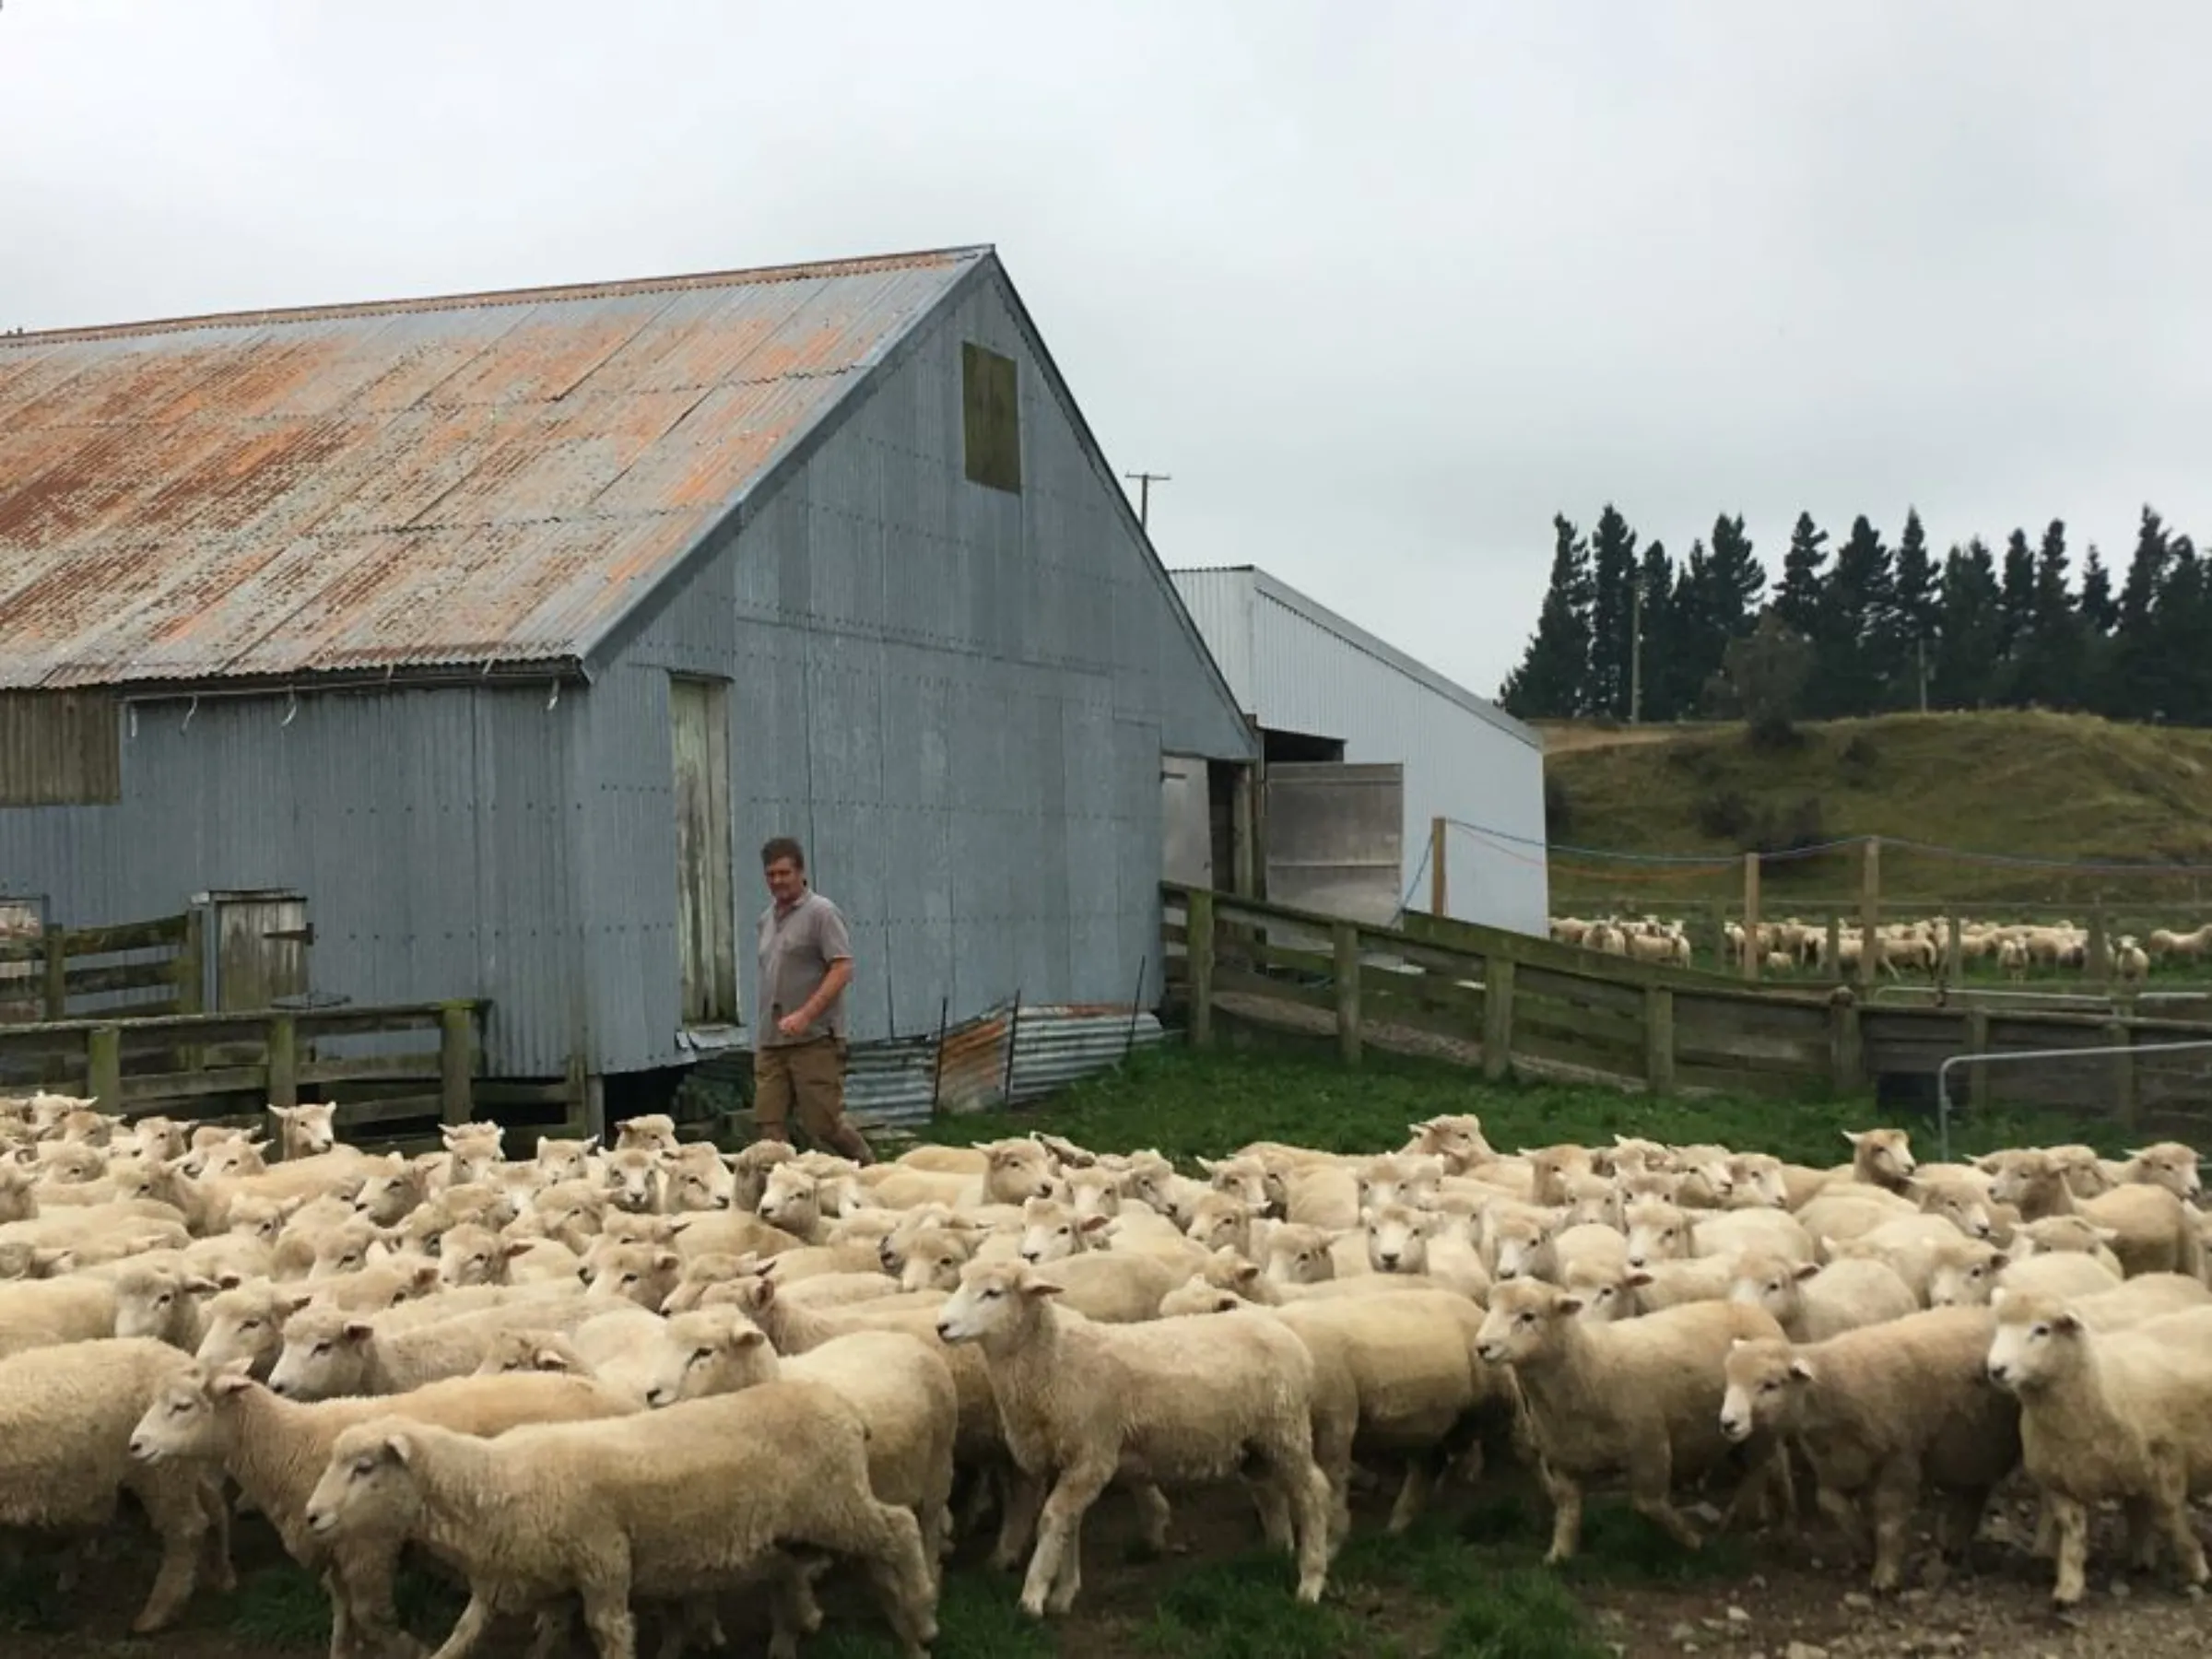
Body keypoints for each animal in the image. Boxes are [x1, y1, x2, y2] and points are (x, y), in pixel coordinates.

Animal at [299, 1380, 937, 1659]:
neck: (494, 1482)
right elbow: (463, 1638)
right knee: (835, 1564)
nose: (312, 1516)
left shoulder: (602, 1561)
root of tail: (844, 1407)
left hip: (837, 1503)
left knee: (901, 1528)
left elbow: (609, 1629)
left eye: (363, 1467)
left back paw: (923, 1610)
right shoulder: (508, 1579)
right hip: (802, 1527)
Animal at [933, 1265, 1327, 1618]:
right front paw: (1063, 1594)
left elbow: (1053, 1519)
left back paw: (1310, 1582)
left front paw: (1033, 1596)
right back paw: (1277, 1552)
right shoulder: (1066, 1460)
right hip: (1256, 1444)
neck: (1054, 1360)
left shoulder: (1092, 1454)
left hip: (1287, 1430)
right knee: (1270, 1492)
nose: (941, 1327)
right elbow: (1069, 1523)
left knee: (1313, 1493)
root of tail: (1280, 1328)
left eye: (993, 1293)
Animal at [1468, 1283, 1795, 1566]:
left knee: (1764, 1464)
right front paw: (1559, 1554)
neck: (1588, 1367)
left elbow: (1648, 1504)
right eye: (1490, 1308)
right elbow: (1568, 1509)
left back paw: (1751, 1514)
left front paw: (1691, 1540)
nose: (1482, 1347)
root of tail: (1754, 1312)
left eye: (1528, 1316)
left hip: (1760, 1424)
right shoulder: (1565, 1460)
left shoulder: (1651, 1448)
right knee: (1774, 1461)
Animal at [1707, 1309, 2026, 1601]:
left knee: (1975, 1493)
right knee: (1971, 1494)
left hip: (1977, 1446)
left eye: (1770, 1385)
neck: (1834, 1389)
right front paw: (1864, 1548)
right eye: (1729, 1380)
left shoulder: (1899, 1459)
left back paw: (1956, 1542)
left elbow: (1888, 1522)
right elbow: (1831, 1505)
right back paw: (1954, 1543)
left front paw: (1885, 1575)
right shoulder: (1833, 1465)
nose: (1728, 1423)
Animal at [1982, 1291, 2212, 1601]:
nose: (1996, 1369)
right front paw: (2068, 1587)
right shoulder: (2060, 1480)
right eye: (1999, 1326)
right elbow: (2074, 1533)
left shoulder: (2166, 1464)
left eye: (2042, 1330)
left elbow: (2170, 1519)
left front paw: (2197, 1567)